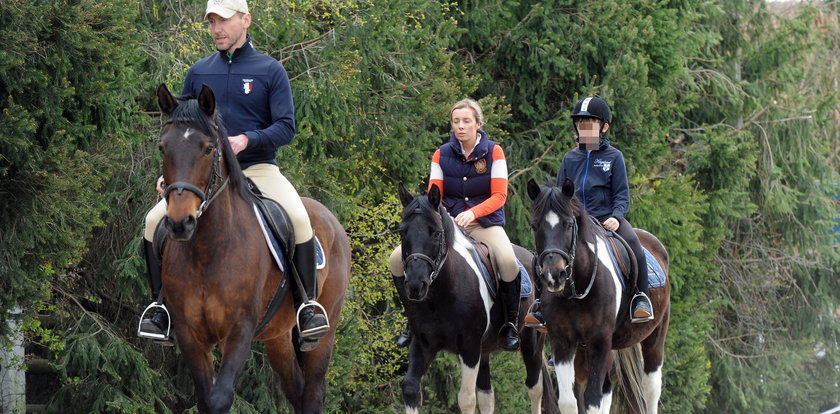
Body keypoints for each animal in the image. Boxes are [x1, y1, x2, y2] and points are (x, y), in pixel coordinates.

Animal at [156, 82, 350, 412]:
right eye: (163, 147)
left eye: (208, 148)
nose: (180, 223)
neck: (208, 251)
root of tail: (331, 219)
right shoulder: (190, 334)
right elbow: (206, 399)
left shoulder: (239, 331)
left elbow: (220, 398)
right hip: (278, 337)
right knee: (295, 390)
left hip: (323, 333)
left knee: (312, 393)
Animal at [396, 184, 556, 414]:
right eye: (402, 232)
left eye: (436, 233)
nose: (416, 285)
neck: (440, 296)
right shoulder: (423, 344)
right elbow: (410, 388)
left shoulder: (469, 347)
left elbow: (466, 399)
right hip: (486, 350)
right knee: (487, 395)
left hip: (531, 343)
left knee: (535, 389)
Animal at [528, 179, 672, 414]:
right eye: (535, 225)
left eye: (569, 225)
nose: (554, 275)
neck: (577, 291)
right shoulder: (562, 341)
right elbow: (569, 401)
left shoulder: (599, 340)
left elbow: (592, 399)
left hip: (654, 337)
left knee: (650, 389)